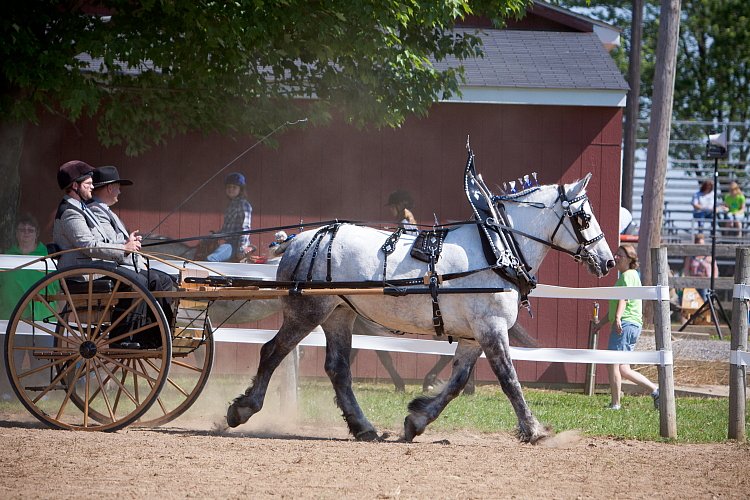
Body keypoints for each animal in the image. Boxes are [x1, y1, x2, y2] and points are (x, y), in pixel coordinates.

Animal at [226, 174, 612, 444]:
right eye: (584, 217)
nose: (607, 261)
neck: (496, 249)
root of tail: (298, 241)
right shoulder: (491, 327)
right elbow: (510, 380)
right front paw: (535, 430)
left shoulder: (474, 335)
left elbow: (457, 382)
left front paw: (417, 419)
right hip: (307, 312)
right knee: (272, 351)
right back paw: (242, 409)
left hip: (339, 314)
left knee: (338, 369)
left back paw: (364, 428)